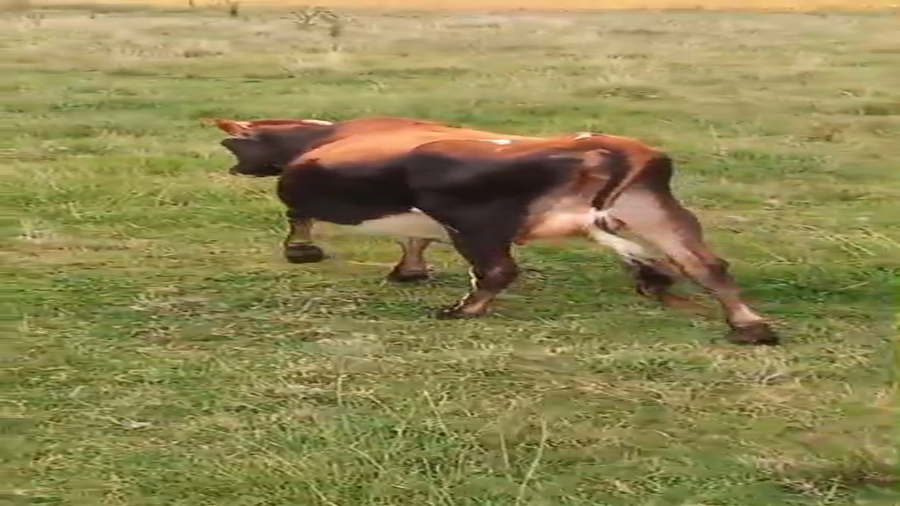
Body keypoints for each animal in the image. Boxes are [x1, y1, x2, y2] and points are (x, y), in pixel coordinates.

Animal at [209, 116, 779, 346]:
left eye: (234, 144)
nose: (232, 168)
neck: (323, 136)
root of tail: (609, 147)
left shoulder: (299, 193)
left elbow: (296, 218)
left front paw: (302, 251)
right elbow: (415, 237)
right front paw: (409, 271)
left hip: (477, 223)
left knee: (499, 270)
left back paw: (461, 311)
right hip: (656, 213)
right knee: (705, 264)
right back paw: (749, 326)